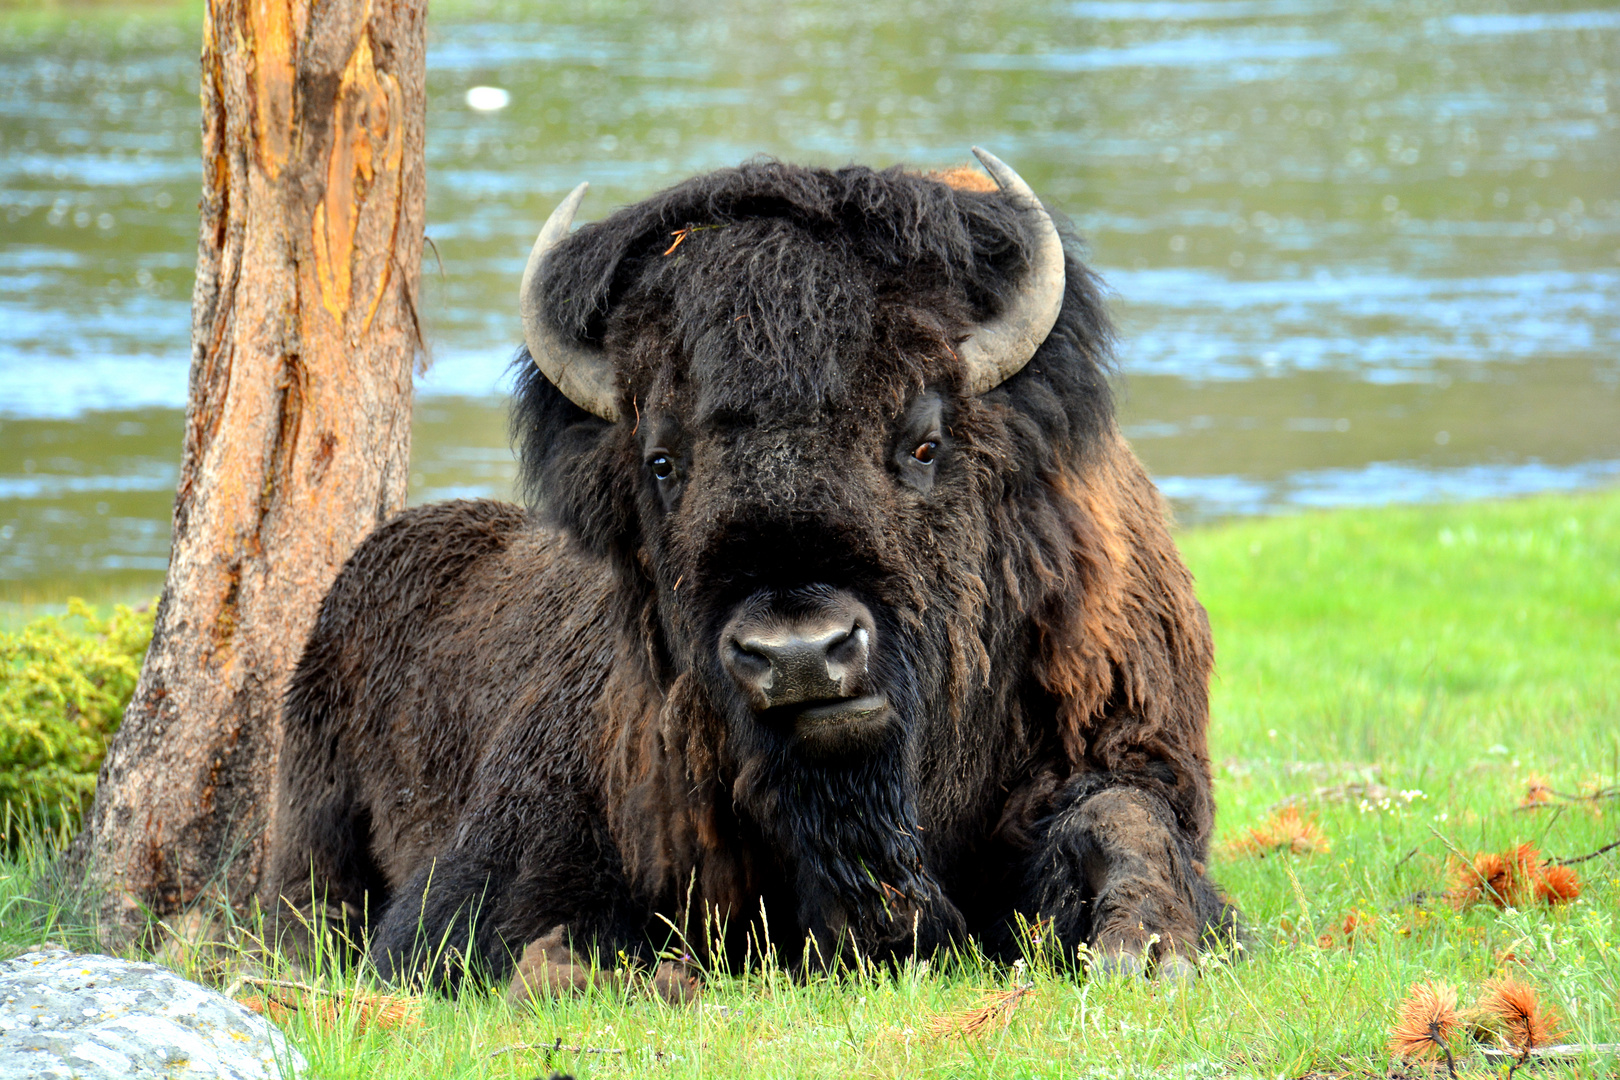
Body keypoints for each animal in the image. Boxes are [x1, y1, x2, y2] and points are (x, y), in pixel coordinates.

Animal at [262, 149, 1237, 997]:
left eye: (924, 441)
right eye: (661, 461)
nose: (800, 652)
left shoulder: (1118, 747)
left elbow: (1123, 819)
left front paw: (1149, 951)